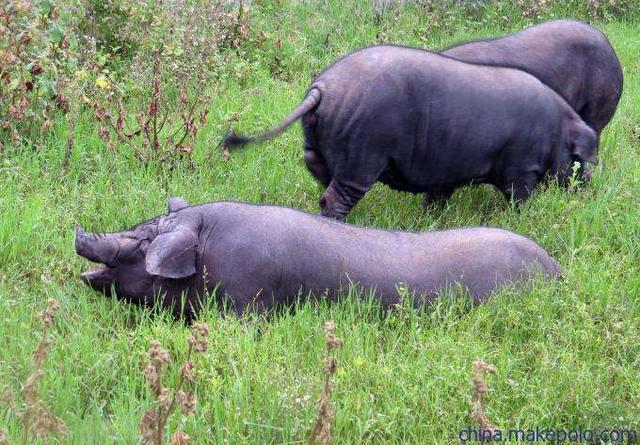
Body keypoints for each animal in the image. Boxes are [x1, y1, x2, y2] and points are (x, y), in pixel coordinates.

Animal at [222, 43, 596, 220]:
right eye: (582, 161)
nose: (586, 191)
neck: (557, 132)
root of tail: (323, 87)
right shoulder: (522, 168)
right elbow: (519, 199)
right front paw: (524, 218)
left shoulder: (448, 172)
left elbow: (437, 197)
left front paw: (431, 218)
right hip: (363, 154)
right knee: (335, 197)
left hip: (317, 147)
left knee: (318, 176)